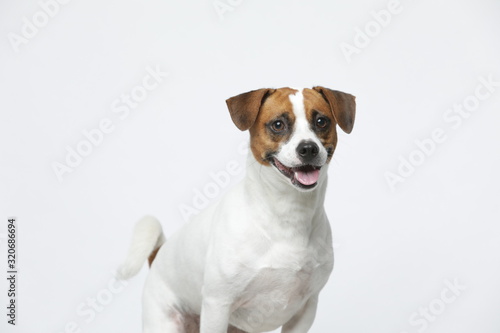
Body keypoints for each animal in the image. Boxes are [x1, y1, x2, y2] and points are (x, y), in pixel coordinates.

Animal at [118, 86, 356, 332]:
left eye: (321, 121)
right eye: (278, 124)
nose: (308, 148)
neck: (287, 213)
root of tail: (158, 255)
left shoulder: (305, 309)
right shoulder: (217, 305)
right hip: (164, 322)